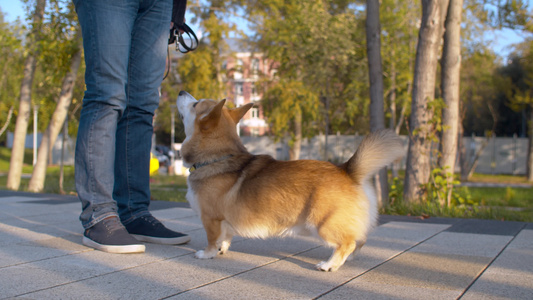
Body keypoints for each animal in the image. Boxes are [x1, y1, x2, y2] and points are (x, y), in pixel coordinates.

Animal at [176, 90, 404, 270]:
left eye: (196, 104)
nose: (180, 91)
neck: (217, 157)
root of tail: (348, 171)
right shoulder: (224, 221)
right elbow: (225, 238)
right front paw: (221, 250)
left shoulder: (211, 218)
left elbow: (212, 239)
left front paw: (206, 254)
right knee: (359, 240)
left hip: (322, 224)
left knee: (347, 243)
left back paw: (329, 265)